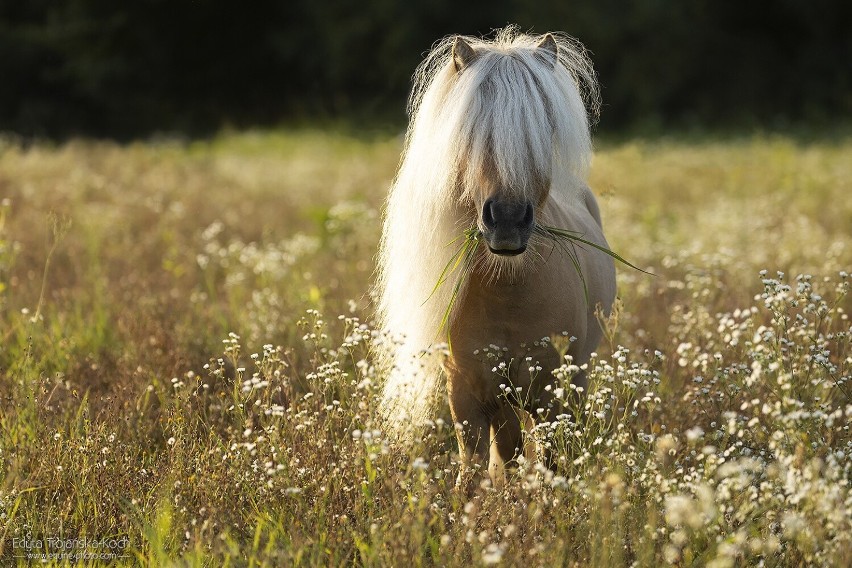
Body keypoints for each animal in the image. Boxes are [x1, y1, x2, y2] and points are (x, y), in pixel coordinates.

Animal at [376, 26, 616, 480]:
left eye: (543, 127)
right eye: (470, 133)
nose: (506, 219)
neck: (509, 292)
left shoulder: (552, 394)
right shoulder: (467, 393)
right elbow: (474, 468)